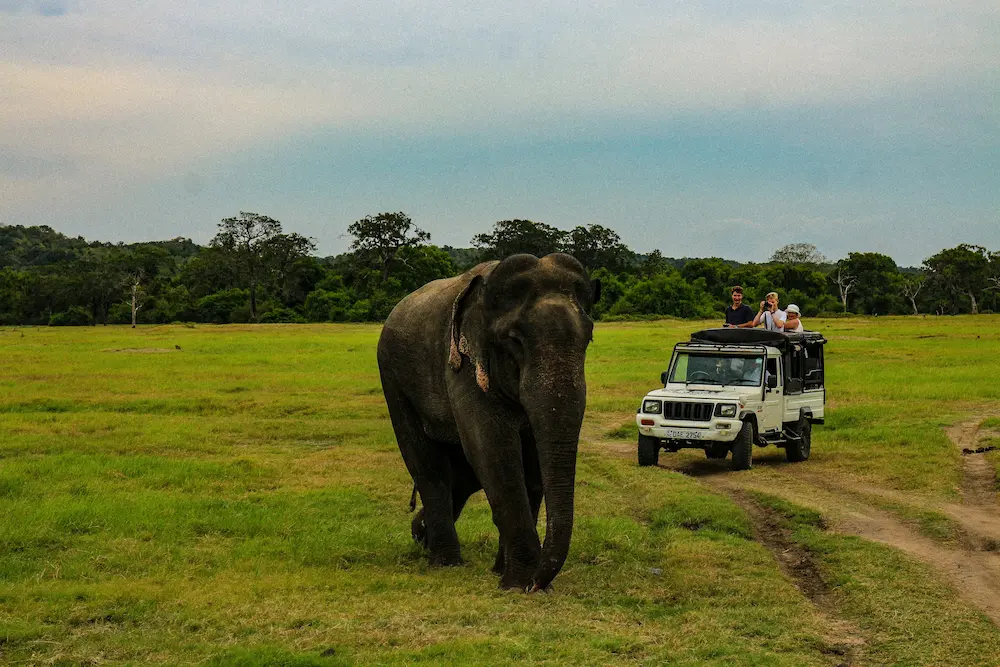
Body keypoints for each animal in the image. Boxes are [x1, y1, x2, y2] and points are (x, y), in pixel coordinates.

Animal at [377, 253, 600, 591]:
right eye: (515, 341)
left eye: (588, 338)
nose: (538, 584)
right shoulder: (463, 365)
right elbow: (493, 449)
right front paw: (517, 584)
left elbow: (530, 461)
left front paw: (509, 575)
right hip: (393, 379)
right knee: (429, 466)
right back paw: (445, 561)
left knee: (461, 476)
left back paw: (422, 536)